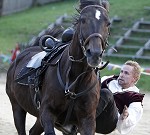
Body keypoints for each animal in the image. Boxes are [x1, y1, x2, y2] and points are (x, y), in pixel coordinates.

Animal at [5, 0, 110, 134]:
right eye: (83, 20)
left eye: (108, 23)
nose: (95, 54)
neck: (74, 80)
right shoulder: (47, 113)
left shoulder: (87, 120)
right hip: (17, 106)